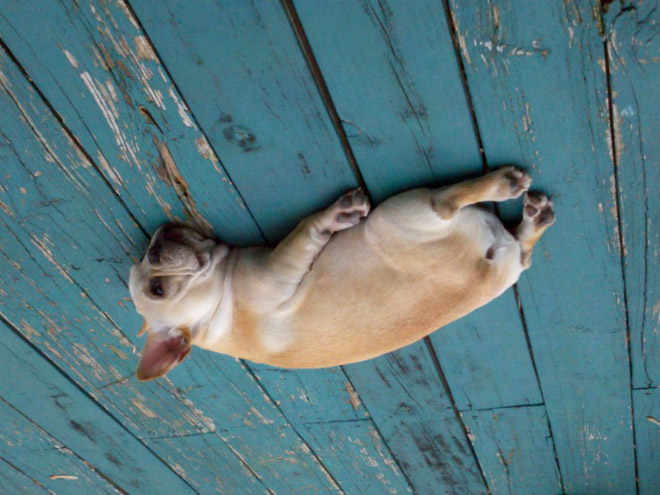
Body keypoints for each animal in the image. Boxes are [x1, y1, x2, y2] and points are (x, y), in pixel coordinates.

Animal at [127, 169, 552, 382]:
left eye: (151, 273)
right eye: (157, 289)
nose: (155, 243)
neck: (213, 310)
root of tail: (487, 262)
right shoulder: (280, 264)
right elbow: (306, 228)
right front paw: (335, 216)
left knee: (525, 251)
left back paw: (535, 218)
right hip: (404, 212)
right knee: (447, 200)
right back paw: (503, 183)